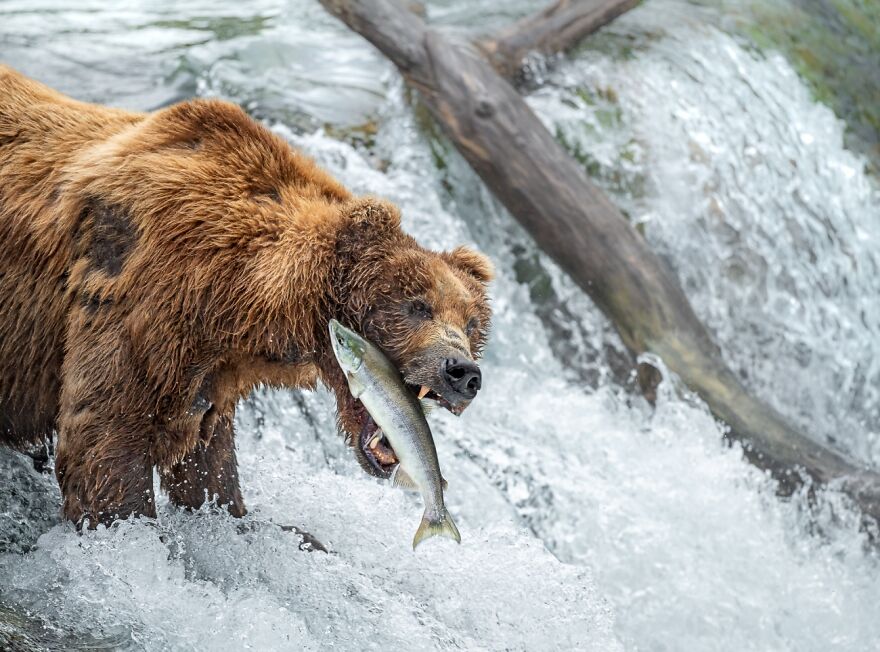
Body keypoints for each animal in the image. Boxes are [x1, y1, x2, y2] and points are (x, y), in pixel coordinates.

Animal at [0, 66, 493, 529]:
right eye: (416, 305)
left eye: (471, 324)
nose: (462, 372)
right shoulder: (139, 299)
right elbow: (105, 437)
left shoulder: (207, 371)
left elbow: (206, 463)